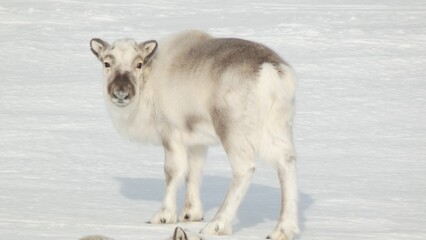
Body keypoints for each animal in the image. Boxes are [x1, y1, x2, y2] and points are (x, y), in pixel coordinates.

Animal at [89, 30, 298, 240]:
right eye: (106, 63)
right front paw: (191, 214)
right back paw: (282, 230)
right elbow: (194, 172)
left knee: (244, 168)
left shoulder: (170, 133)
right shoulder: (196, 141)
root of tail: (271, 71)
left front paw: (164, 216)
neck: (148, 81)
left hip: (232, 129)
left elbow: (173, 172)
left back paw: (217, 224)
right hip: (277, 126)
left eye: (138, 63)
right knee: (286, 163)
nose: (121, 93)